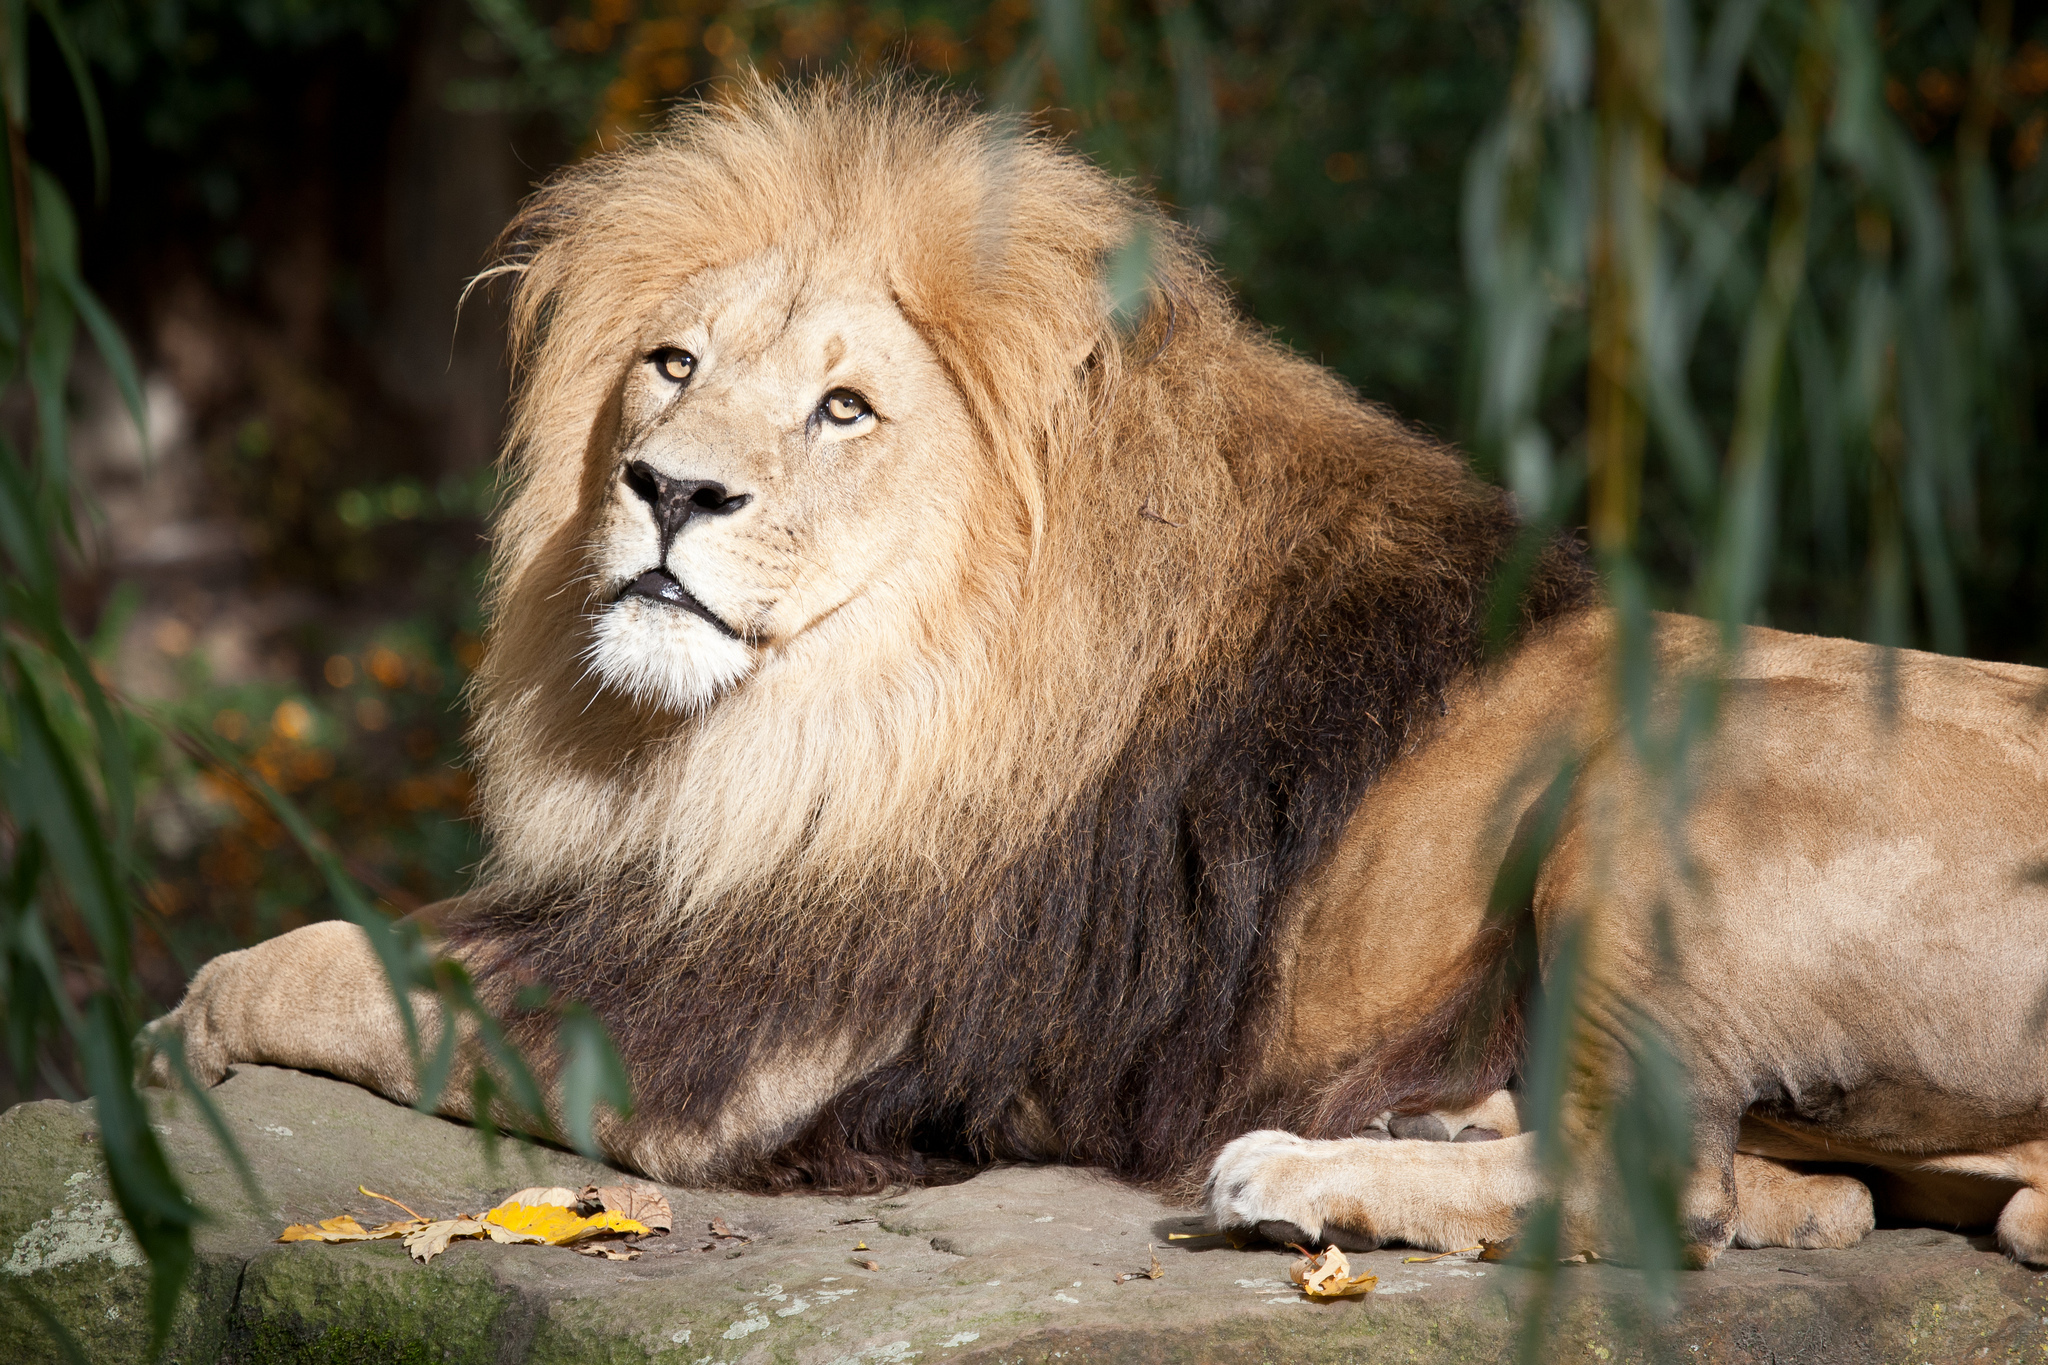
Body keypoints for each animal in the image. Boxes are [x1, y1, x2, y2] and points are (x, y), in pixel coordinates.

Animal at [151, 74, 2048, 1268]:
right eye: (671, 364)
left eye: (845, 407)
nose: (667, 488)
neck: (824, 722)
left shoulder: (771, 1040)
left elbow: (365, 966)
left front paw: (194, 1013)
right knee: (1794, 1196)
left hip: (1682, 770)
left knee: (1666, 1200)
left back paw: (1299, 1174)